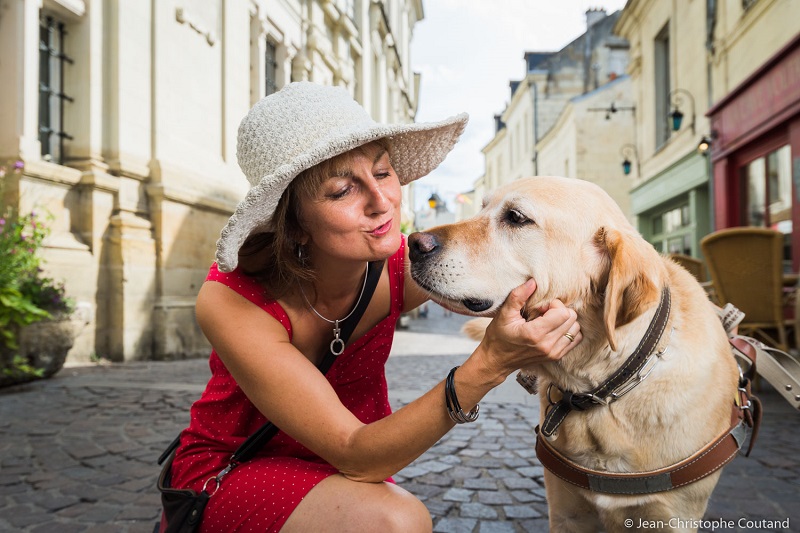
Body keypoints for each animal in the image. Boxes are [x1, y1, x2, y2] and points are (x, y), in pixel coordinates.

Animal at [410, 177, 748, 528]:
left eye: (516, 217)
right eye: (482, 207)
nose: (413, 243)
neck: (601, 387)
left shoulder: (673, 516)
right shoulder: (565, 511)